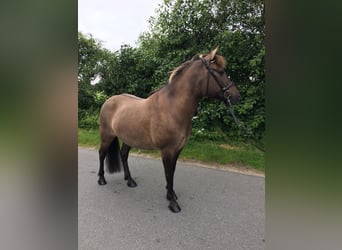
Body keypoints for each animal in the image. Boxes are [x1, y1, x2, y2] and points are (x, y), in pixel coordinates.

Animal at [97, 47, 240, 213]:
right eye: (221, 72)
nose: (237, 96)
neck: (173, 108)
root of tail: (109, 101)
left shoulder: (178, 149)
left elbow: (172, 171)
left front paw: (171, 195)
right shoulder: (167, 150)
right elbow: (168, 173)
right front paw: (173, 202)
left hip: (129, 138)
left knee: (123, 155)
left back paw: (130, 180)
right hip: (106, 136)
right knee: (102, 154)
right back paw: (101, 179)